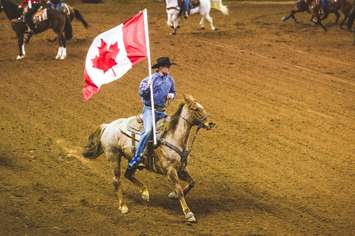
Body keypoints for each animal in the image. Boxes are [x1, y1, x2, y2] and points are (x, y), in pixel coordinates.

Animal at [83, 95, 216, 222]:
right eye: (195, 109)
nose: (211, 123)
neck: (173, 137)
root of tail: (108, 126)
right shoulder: (170, 171)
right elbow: (179, 191)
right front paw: (188, 213)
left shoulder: (182, 169)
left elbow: (192, 182)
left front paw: (172, 195)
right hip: (114, 156)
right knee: (116, 180)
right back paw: (123, 206)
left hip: (133, 160)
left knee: (128, 174)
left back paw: (144, 192)